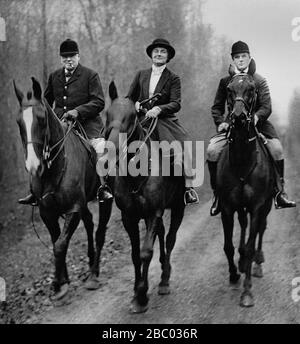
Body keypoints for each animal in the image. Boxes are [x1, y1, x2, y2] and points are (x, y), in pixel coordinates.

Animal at [12, 77, 111, 300]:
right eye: (19, 122)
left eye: (41, 119)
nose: (33, 166)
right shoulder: (47, 213)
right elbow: (57, 241)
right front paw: (62, 282)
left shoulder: (72, 210)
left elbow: (59, 245)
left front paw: (59, 283)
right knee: (90, 223)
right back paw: (90, 262)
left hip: (106, 201)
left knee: (100, 232)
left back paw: (94, 274)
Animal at [95, 82, 186, 314]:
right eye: (108, 114)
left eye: (131, 116)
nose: (110, 152)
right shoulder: (130, 217)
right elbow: (135, 254)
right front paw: (136, 293)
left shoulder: (154, 212)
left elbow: (146, 252)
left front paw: (143, 295)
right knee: (162, 234)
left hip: (178, 207)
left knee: (170, 239)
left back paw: (164, 280)